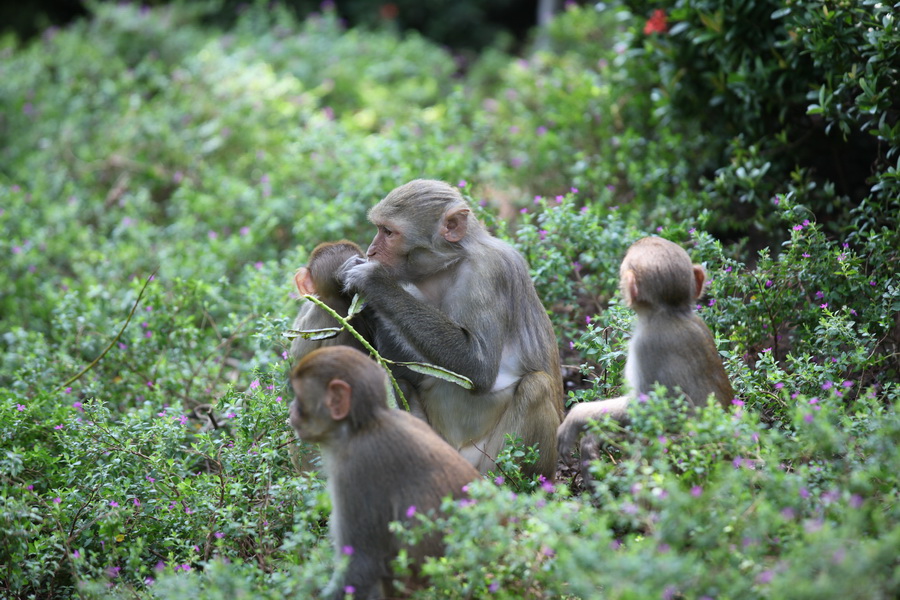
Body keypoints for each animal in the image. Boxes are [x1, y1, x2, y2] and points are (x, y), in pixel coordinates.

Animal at [340, 179, 564, 479]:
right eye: (379, 229)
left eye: (388, 232)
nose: (371, 251)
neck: (449, 267)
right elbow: (407, 371)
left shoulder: (488, 274)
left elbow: (479, 368)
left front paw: (374, 281)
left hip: (490, 463)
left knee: (536, 386)